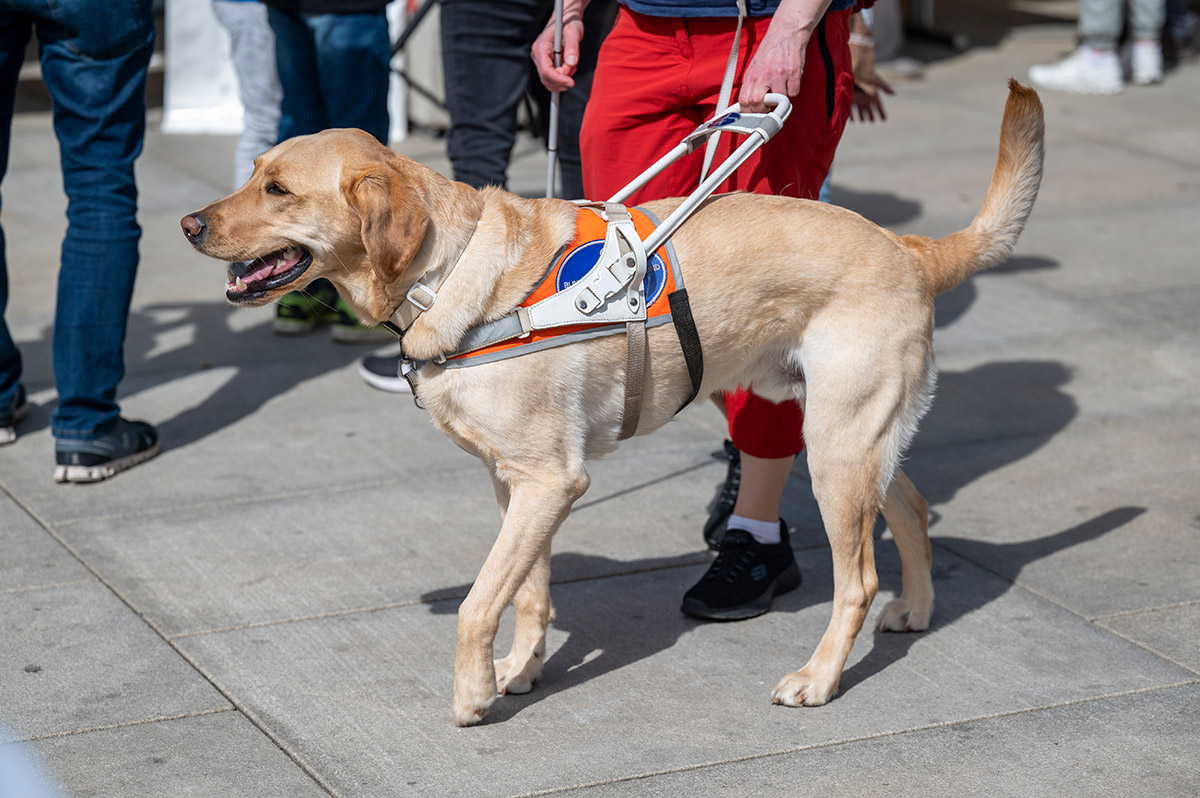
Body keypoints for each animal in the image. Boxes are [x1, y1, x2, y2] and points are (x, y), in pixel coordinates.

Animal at [177, 79, 1041, 720]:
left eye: (278, 189)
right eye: (254, 171)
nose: (186, 224)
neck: (444, 272)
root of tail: (912, 247)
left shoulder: (551, 480)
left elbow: (478, 603)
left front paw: (472, 694)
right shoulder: (519, 484)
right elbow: (528, 591)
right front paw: (520, 668)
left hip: (835, 448)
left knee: (857, 580)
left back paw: (820, 678)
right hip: (855, 440)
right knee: (914, 508)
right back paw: (916, 609)